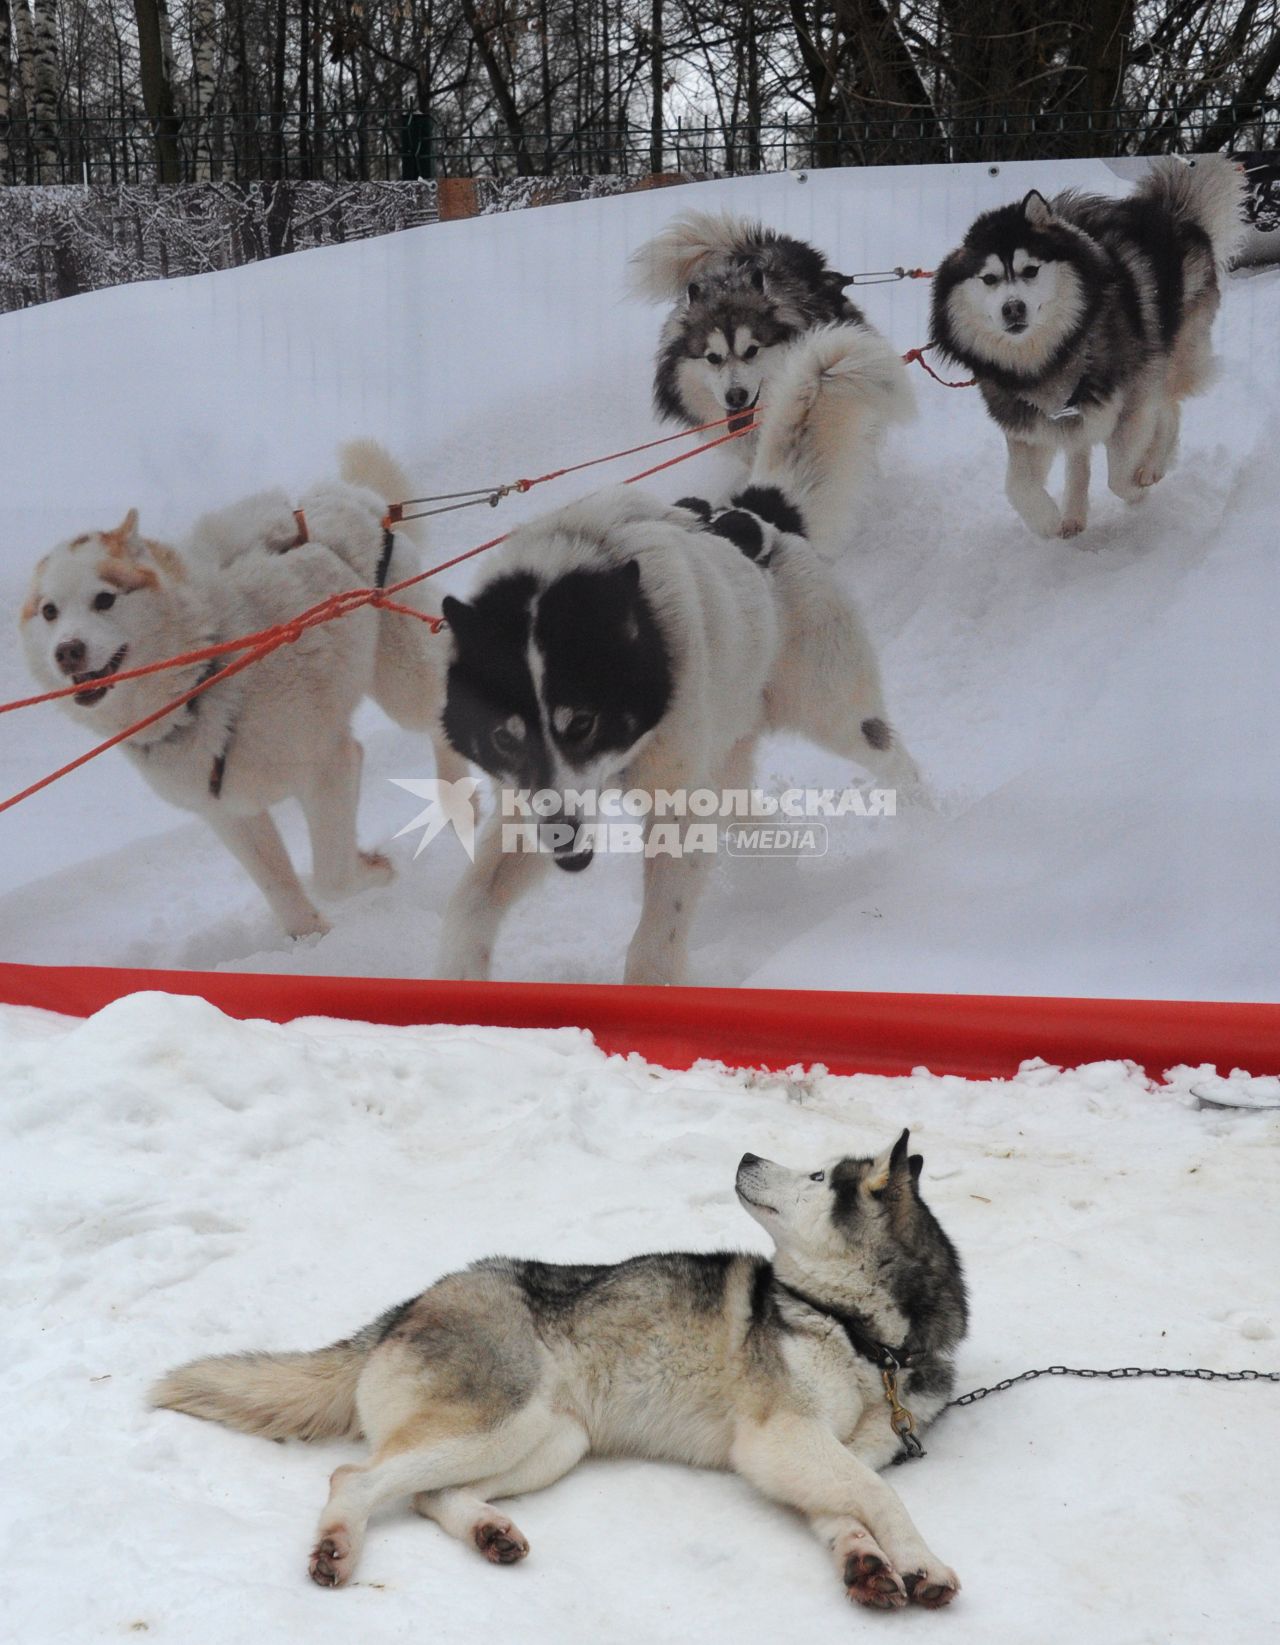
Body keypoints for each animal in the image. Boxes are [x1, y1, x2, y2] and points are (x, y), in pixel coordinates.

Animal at [19, 444, 460, 940]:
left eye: (104, 599)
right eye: (50, 611)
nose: (67, 651)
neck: (205, 678)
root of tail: (350, 496)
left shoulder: (330, 767)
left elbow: (332, 877)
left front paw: (375, 870)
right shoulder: (228, 813)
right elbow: (281, 891)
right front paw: (310, 942)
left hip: (407, 683)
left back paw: (458, 802)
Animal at [154, 1131, 960, 1605]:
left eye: (818, 1175)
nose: (745, 1156)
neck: (868, 1340)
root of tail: (410, 1302)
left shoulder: (829, 1450)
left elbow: (846, 1511)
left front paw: (869, 1565)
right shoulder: (781, 1437)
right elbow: (880, 1500)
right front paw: (922, 1562)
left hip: (549, 1441)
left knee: (427, 1494)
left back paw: (489, 1532)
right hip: (501, 1419)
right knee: (354, 1476)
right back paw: (337, 1548)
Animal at [427, 327, 914, 980]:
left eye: (581, 723)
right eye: (505, 738)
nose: (561, 839)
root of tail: (761, 513)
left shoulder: (676, 802)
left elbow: (656, 939)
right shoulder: (527, 803)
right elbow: (470, 905)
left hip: (835, 712)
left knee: (893, 761)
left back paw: (933, 833)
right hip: (728, 747)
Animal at [921, 157, 1243, 536]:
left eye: (1030, 270)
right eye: (988, 279)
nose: (1013, 308)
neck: (1050, 357)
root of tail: (1172, 212)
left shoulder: (1131, 403)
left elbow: (1118, 476)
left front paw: (1137, 493)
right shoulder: (1030, 424)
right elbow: (1017, 486)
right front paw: (1046, 520)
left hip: (1171, 355)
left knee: (1168, 407)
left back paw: (1151, 466)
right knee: (1083, 449)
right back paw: (1074, 512)